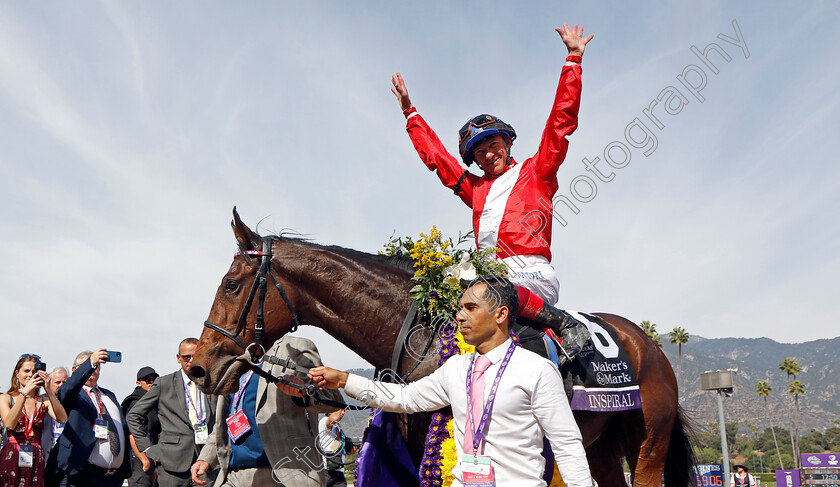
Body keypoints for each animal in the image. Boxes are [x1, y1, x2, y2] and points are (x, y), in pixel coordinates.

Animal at [190, 211, 696, 487]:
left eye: (231, 284)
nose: (198, 367)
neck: (419, 330)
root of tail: (648, 344)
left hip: (648, 442)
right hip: (598, 444)